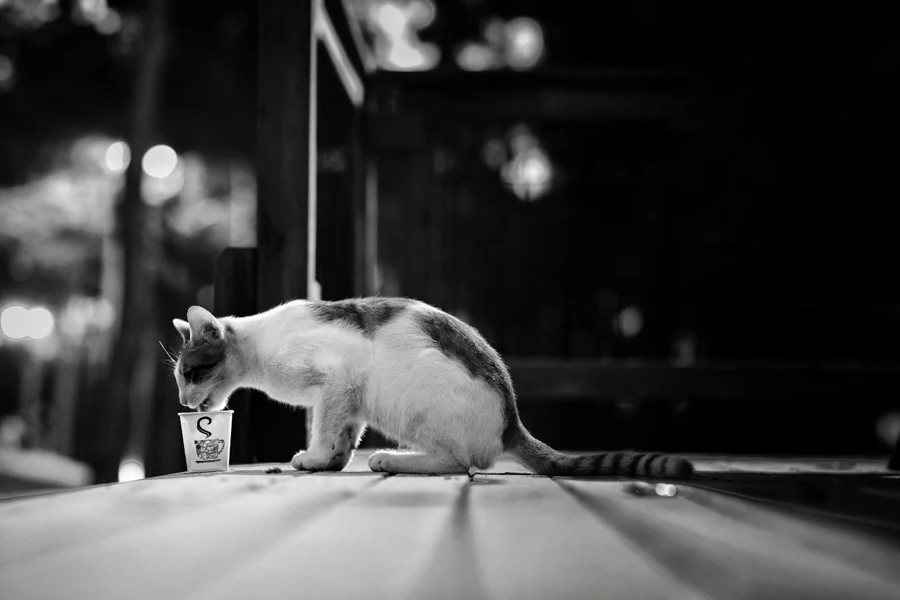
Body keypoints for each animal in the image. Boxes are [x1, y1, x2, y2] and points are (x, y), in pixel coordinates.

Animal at [174, 296, 696, 478]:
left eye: (190, 373)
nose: (181, 400)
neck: (261, 347)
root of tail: (511, 419)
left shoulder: (339, 377)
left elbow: (324, 428)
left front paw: (315, 458)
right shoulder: (350, 397)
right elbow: (345, 433)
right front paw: (334, 461)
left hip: (417, 404)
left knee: (460, 462)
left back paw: (395, 460)